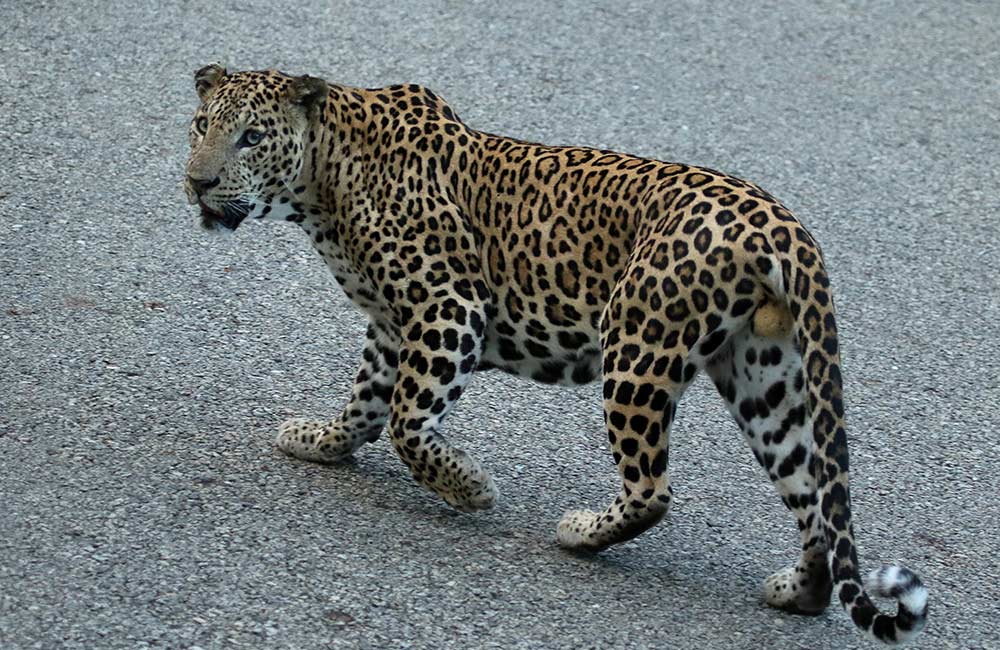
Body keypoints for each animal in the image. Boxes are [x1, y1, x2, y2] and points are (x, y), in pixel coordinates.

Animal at [184, 63, 924, 640]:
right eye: (200, 126)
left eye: (252, 137)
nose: (198, 182)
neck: (324, 181)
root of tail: (784, 225)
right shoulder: (395, 324)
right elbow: (366, 401)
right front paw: (321, 440)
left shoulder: (448, 306)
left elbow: (405, 419)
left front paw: (468, 486)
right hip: (763, 377)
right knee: (814, 500)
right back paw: (798, 592)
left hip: (637, 348)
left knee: (653, 489)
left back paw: (581, 532)